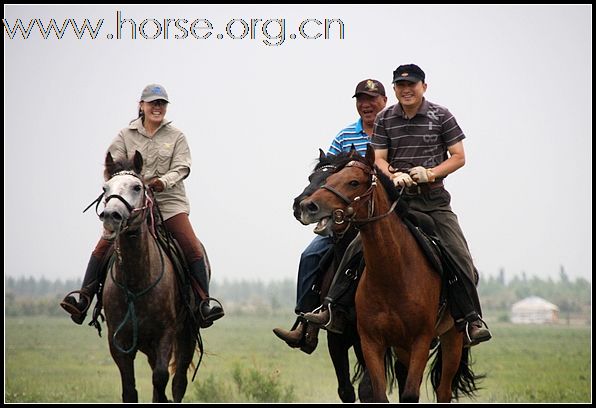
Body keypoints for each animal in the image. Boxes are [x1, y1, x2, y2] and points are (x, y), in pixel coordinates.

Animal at [100, 151, 197, 402]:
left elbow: (161, 379)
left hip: (187, 335)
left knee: (178, 382)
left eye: (137, 187)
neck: (136, 282)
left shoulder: (165, 334)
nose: (111, 216)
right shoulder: (118, 342)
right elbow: (129, 389)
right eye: (105, 188)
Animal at [298, 146, 480, 402]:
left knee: (442, 390)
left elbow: (408, 394)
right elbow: (370, 392)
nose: (306, 206)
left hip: (451, 339)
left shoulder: (420, 340)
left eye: (353, 182)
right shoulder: (369, 341)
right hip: (401, 348)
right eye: (328, 179)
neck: (393, 274)